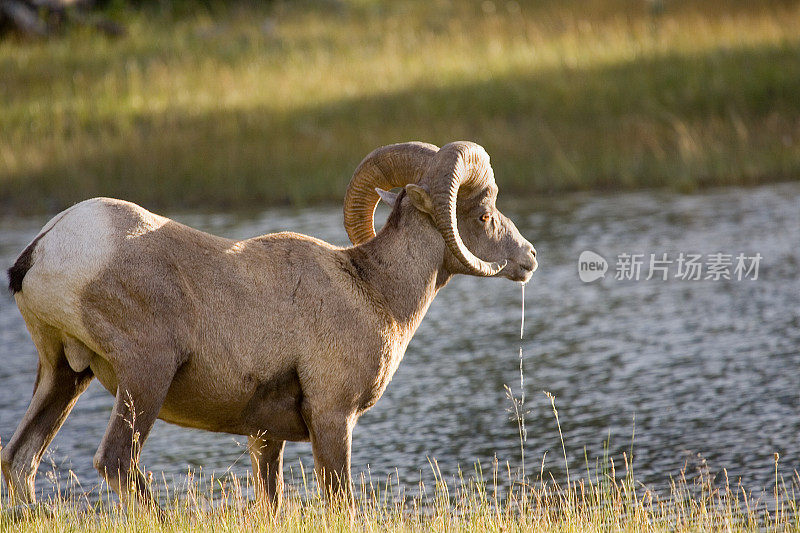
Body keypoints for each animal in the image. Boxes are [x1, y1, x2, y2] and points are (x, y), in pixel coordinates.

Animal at [1, 139, 536, 510]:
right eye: (483, 214)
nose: (529, 258)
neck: (373, 292)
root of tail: (44, 248)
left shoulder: (265, 438)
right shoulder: (333, 418)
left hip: (63, 375)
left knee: (19, 461)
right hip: (145, 376)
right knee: (116, 463)